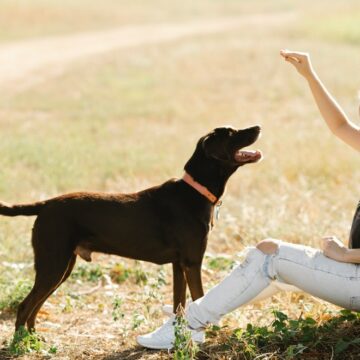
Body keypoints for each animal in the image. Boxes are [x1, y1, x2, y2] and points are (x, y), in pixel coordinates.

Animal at [0, 125, 262, 330]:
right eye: (232, 133)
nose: (258, 127)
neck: (194, 191)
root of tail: (45, 205)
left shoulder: (179, 265)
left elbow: (179, 304)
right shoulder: (192, 262)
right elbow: (199, 298)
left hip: (61, 267)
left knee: (35, 306)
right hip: (53, 265)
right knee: (24, 306)